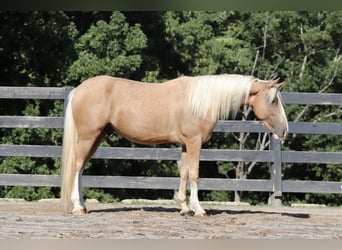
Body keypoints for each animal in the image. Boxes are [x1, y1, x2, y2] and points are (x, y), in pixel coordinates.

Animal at [60, 73, 288, 216]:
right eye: (273, 100)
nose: (284, 130)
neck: (200, 102)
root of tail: (79, 89)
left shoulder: (186, 144)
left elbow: (184, 173)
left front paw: (184, 207)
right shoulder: (195, 142)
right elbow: (194, 174)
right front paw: (198, 209)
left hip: (96, 137)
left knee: (81, 168)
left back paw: (83, 206)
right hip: (89, 136)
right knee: (76, 166)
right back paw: (78, 207)